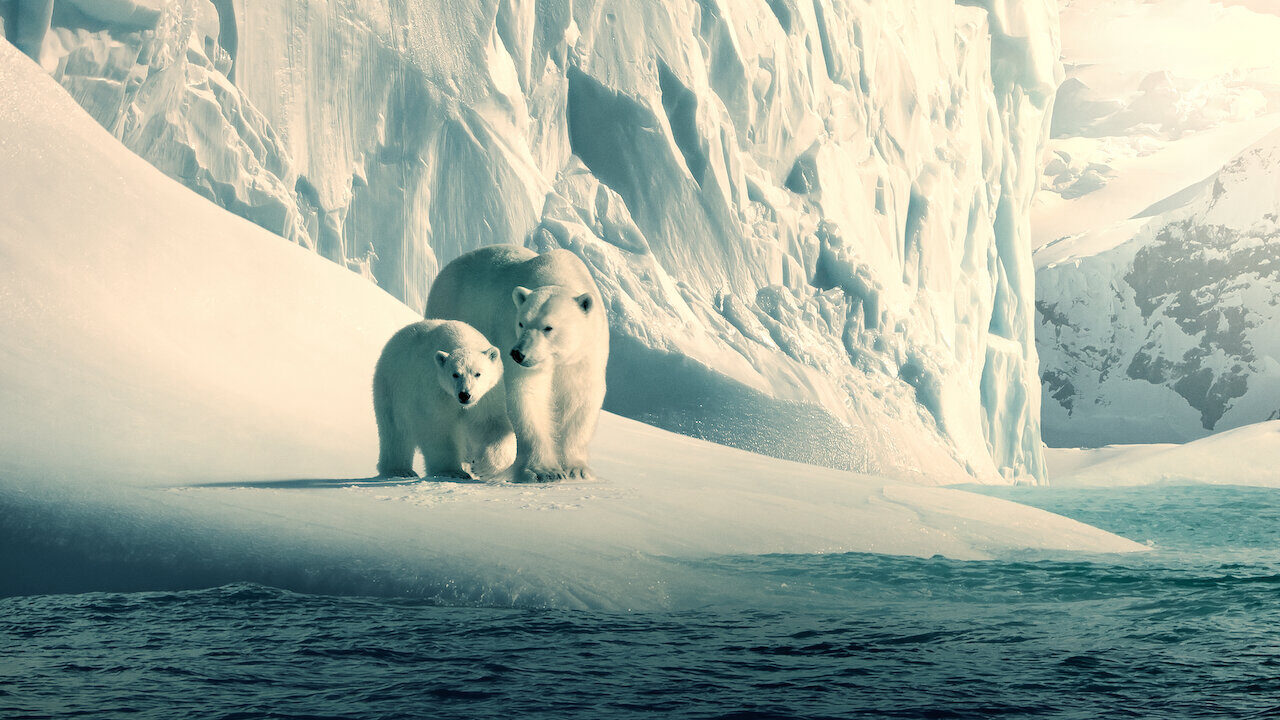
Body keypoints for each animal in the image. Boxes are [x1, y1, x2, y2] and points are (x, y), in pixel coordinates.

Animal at [371, 317, 514, 476]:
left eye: (478, 373)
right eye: (455, 374)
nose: (464, 395)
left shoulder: (486, 396)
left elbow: (489, 422)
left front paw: (482, 467)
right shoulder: (435, 389)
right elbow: (438, 426)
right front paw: (451, 471)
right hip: (391, 387)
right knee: (395, 431)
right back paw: (399, 470)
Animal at [424, 242, 609, 481]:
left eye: (548, 327)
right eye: (521, 323)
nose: (518, 354)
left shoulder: (585, 353)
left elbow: (579, 399)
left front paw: (577, 469)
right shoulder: (509, 334)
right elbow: (527, 394)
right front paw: (544, 471)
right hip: (450, 307)